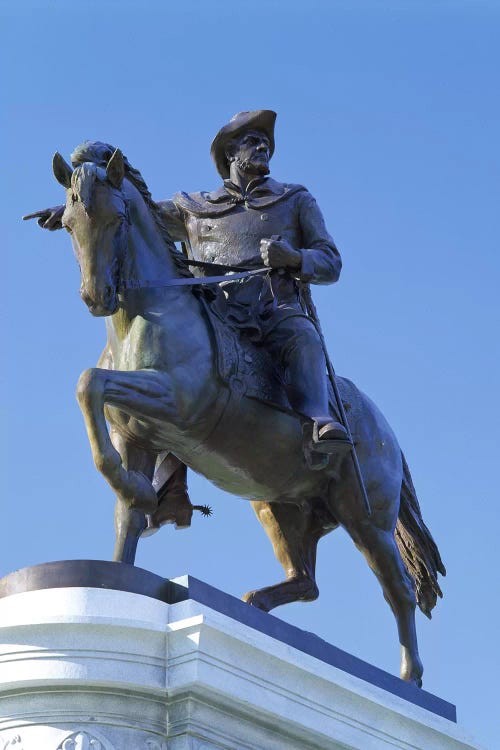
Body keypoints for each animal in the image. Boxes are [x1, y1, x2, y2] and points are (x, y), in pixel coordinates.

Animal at [47, 144, 446, 692]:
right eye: (68, 223)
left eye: (116, 218)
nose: (96, 296)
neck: (151, 312)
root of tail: (385, 431)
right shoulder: (136, 436)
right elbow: (119, 498)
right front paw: (129, 542)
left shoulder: (175, 402)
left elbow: (89, 383)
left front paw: (142, 493)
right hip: (278, 505)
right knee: (307, 581)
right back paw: (256, 603)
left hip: (366, 518)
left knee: (399, 590)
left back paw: (409, 679)